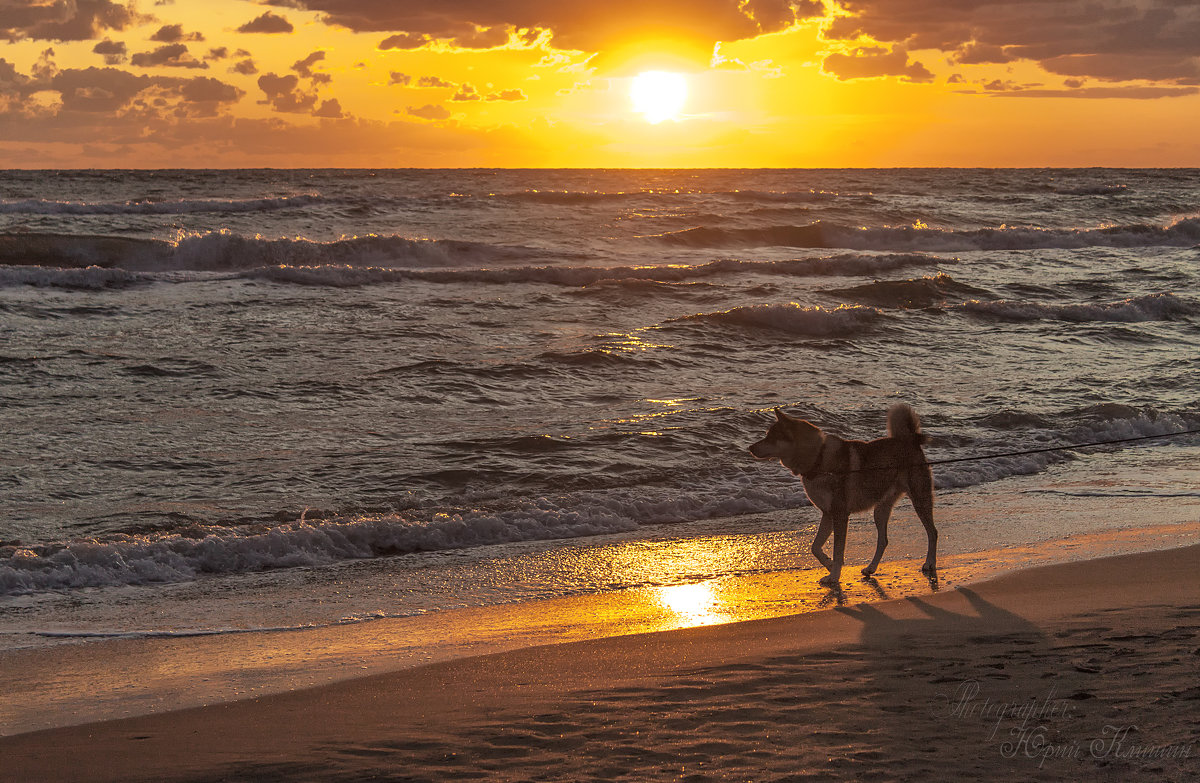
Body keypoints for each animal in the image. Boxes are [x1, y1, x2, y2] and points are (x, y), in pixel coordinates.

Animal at [748, 405, 936, 583]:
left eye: (771, 437)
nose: (750, 447)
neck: (819, 459)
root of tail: (910, 440)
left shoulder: (840, 514)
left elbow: (838, 550)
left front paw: (834, 576)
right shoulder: (828, 513)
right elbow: (815, 547)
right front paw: (829, 565)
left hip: (920, 499)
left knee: (932, 532)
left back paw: (929, 563)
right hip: (880, 509)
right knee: (883, 540)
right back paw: (870, 568)